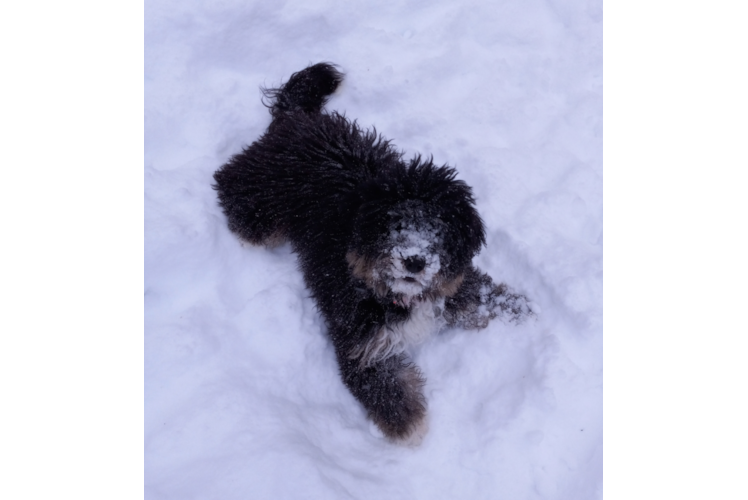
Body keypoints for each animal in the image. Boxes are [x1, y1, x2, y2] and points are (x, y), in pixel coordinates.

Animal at [213, 63, 536, 446]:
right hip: (262, 200)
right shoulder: (361, 344)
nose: (415, 261)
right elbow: (385, 386)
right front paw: (412, 429)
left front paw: (523, 311)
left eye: (438, 229)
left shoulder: (450, 287)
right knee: (230, 186)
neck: (397, 296)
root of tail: (298, 119)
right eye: (395, 224)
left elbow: (480, 295)